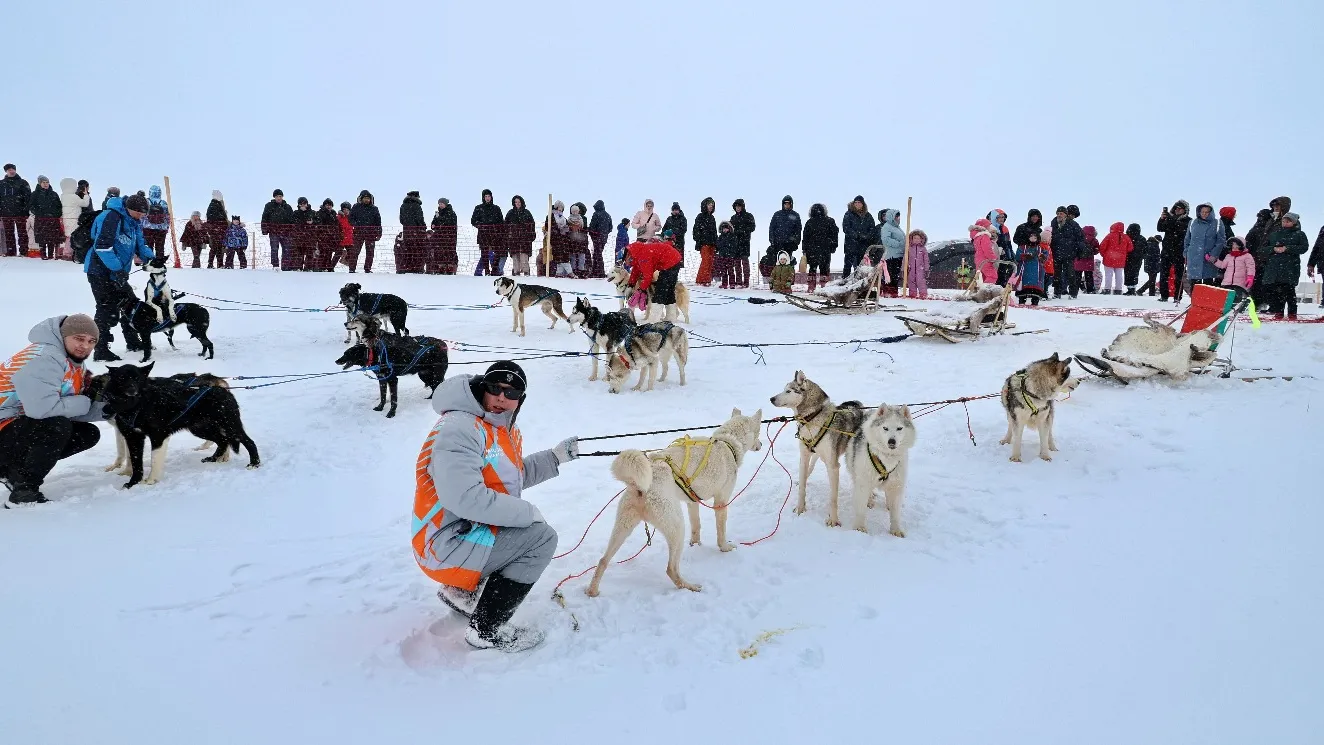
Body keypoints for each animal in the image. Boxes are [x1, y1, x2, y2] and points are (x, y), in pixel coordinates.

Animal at [96, 362, 260, 489]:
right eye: (122, 378)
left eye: (137, 378)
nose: (132, 390)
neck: (137, 406)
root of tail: (223, 389)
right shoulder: (133, 437)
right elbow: (136, 462)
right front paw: (132, 484)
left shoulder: (158, 436)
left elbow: (154, 459)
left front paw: (150, 480)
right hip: (201, 429)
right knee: (223, 441)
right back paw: (213, 458)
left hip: (230, 427)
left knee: (249, 441)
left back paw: (254, 463)